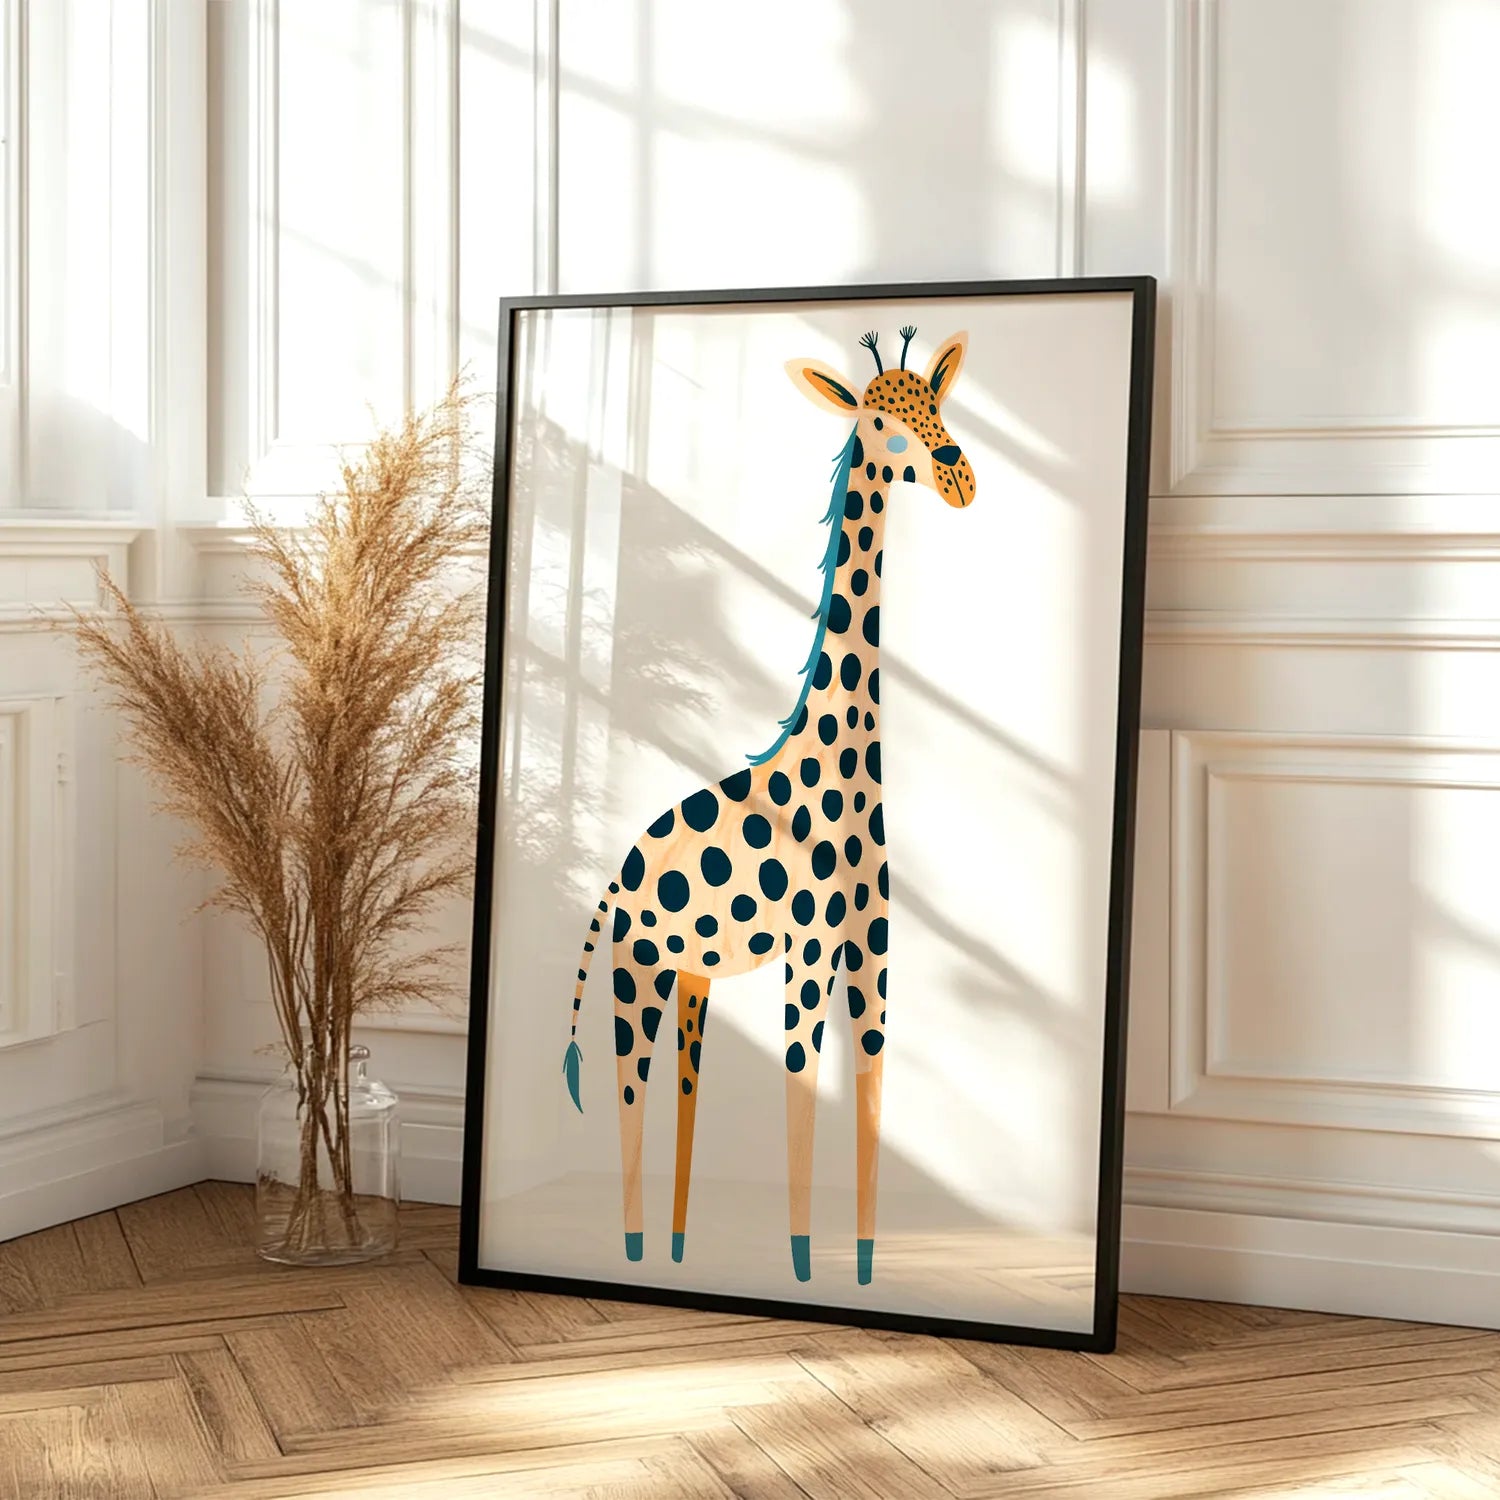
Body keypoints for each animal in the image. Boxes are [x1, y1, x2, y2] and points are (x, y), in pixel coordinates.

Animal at [562, 326, 977, 1286]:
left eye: (937, 404)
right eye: (879, 417)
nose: (958, 474)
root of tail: (612, 882)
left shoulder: (875, 954)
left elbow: (867, 1098)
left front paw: (863, 1271)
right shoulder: (810, 953)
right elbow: (799, 1097)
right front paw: (799, 1268)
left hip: (693, 979)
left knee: (684, 1090)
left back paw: (678, 1251)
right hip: (636, 974)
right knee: (631, 1095)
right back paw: (633, 1250)